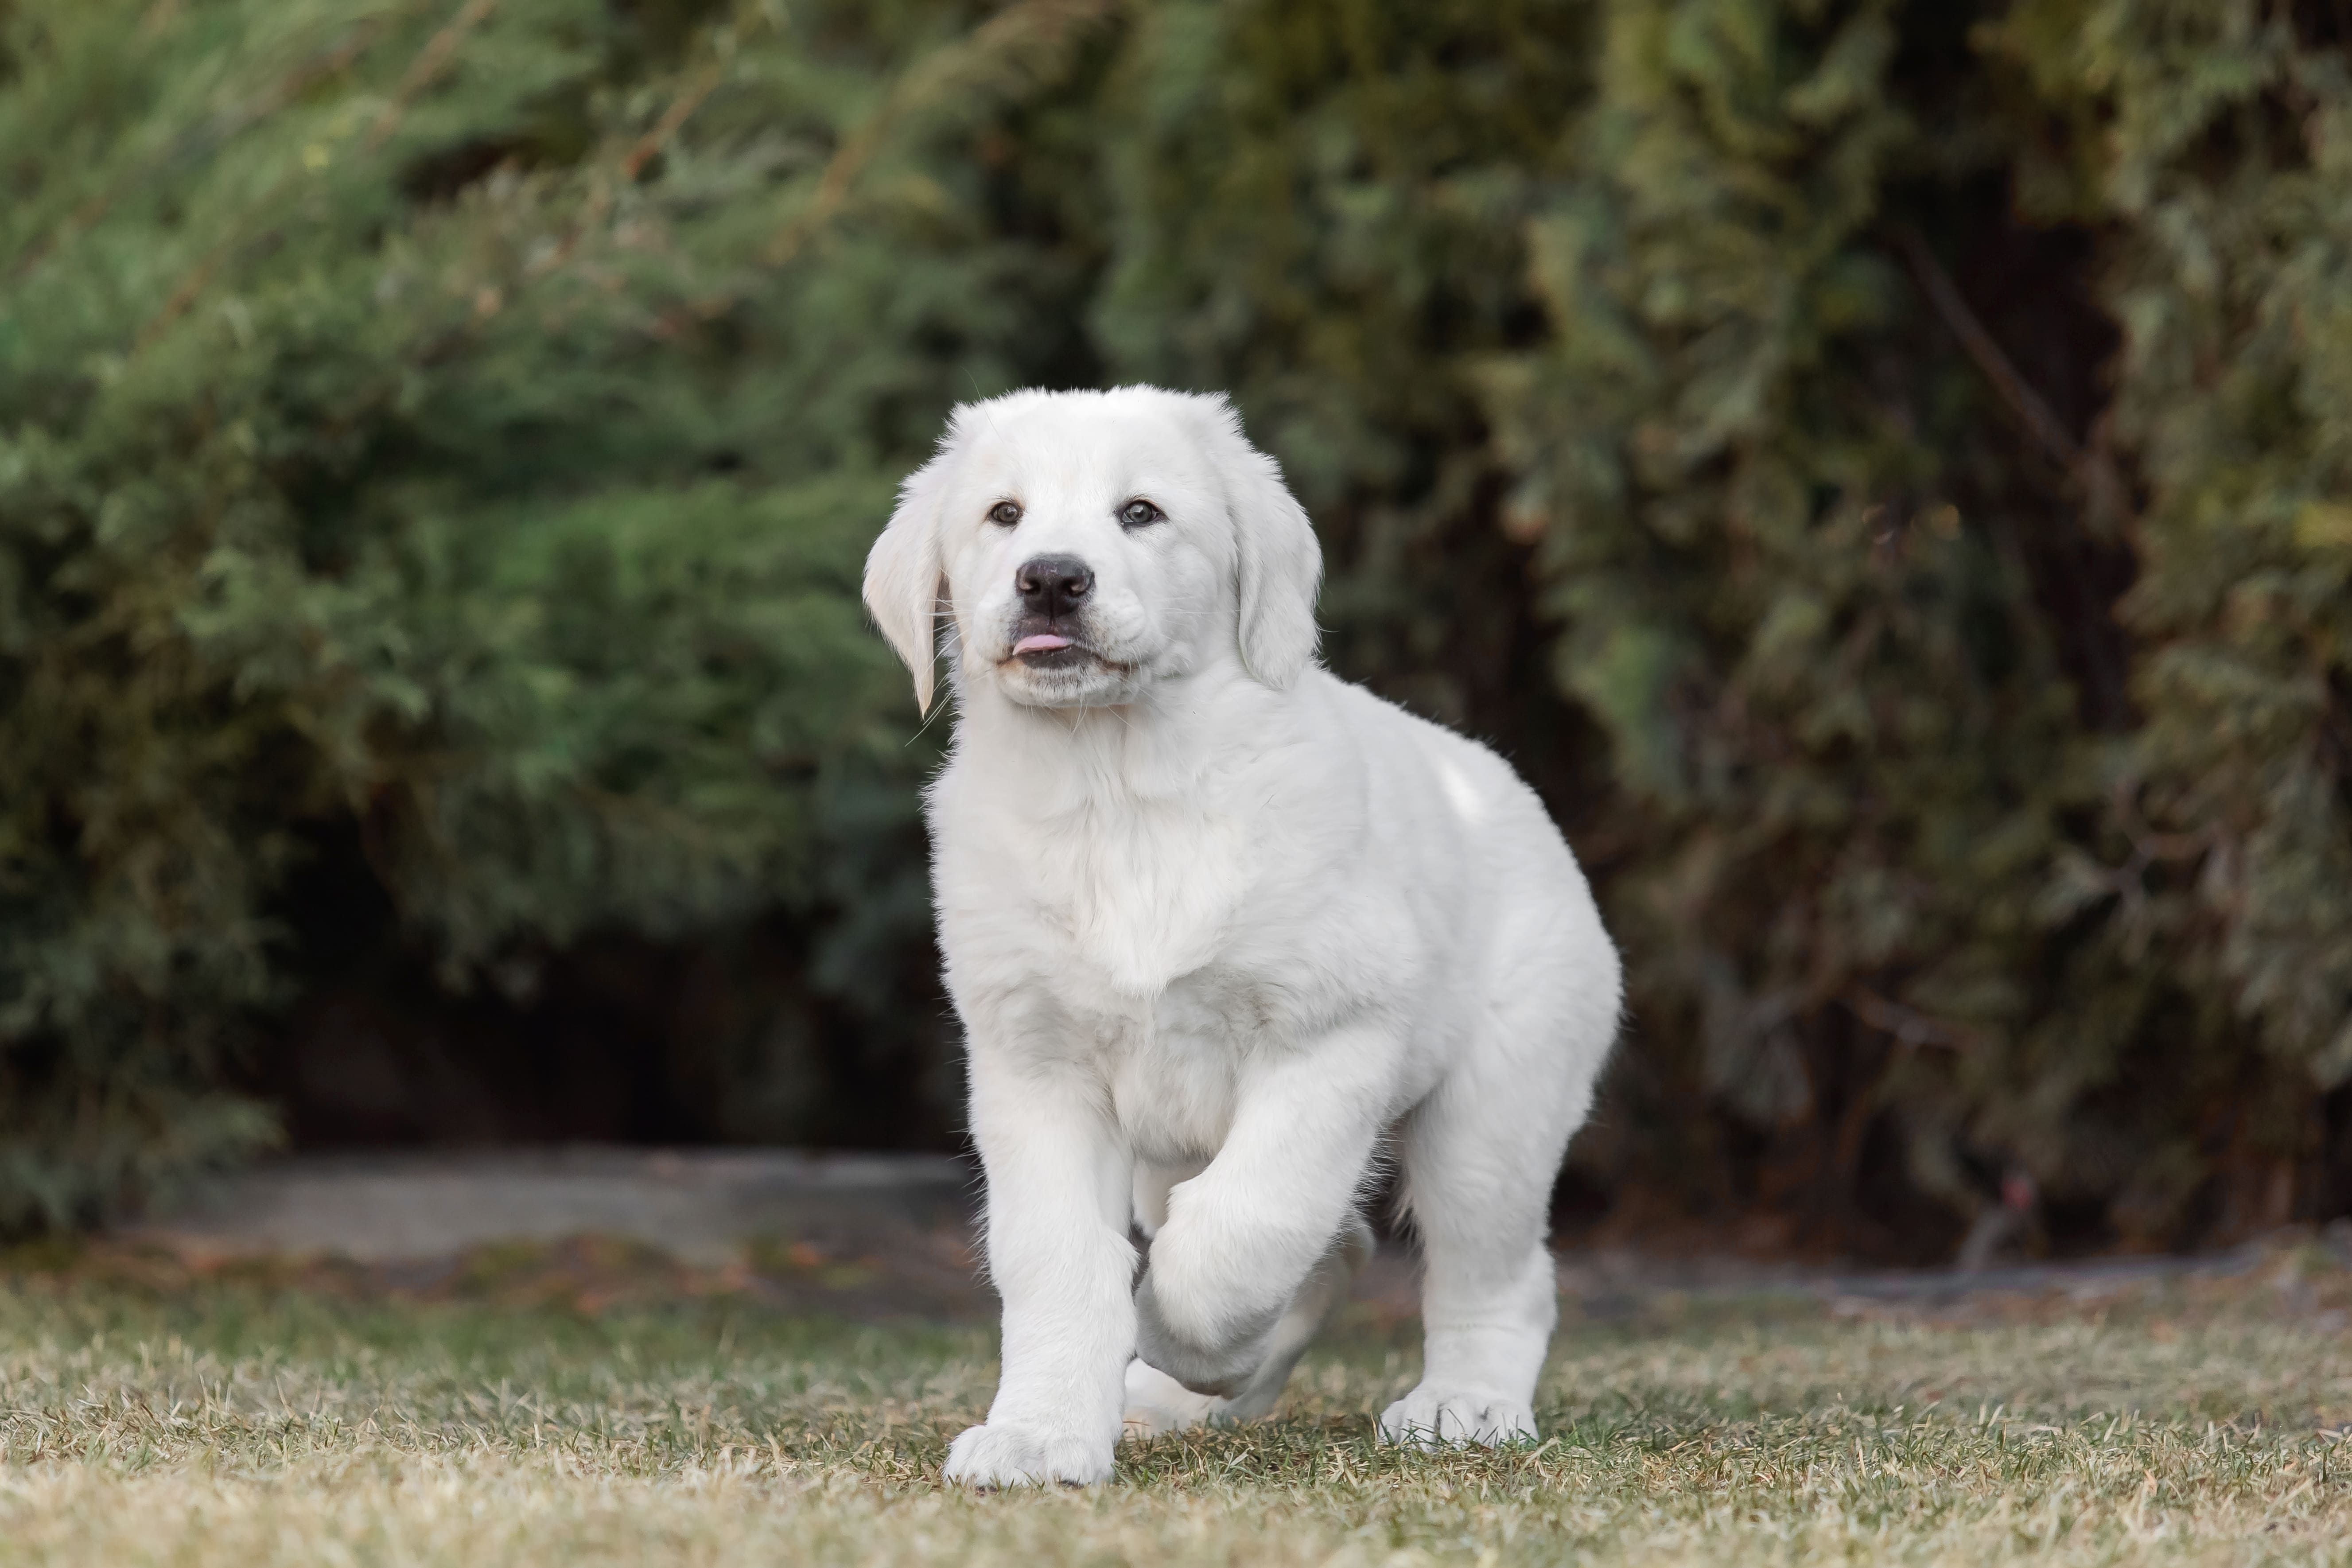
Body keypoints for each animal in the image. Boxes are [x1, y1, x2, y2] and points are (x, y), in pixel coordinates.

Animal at [865, 385, 1618, 1495]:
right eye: (1003, 514)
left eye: (1140, 512)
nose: (1050, 577)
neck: (1118, 789)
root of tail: (1500, 783)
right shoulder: (1033, 1065)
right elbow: (1056, 1256)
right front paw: (1042, 1433)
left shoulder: (1330, 1035)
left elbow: (1246, 1224)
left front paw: (1176, 1331)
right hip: (1170, 1144)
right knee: (1339, 1245)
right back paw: (1186, 1395)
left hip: (1494, 1109)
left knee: (1492, 1269)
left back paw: (1462, 1403)